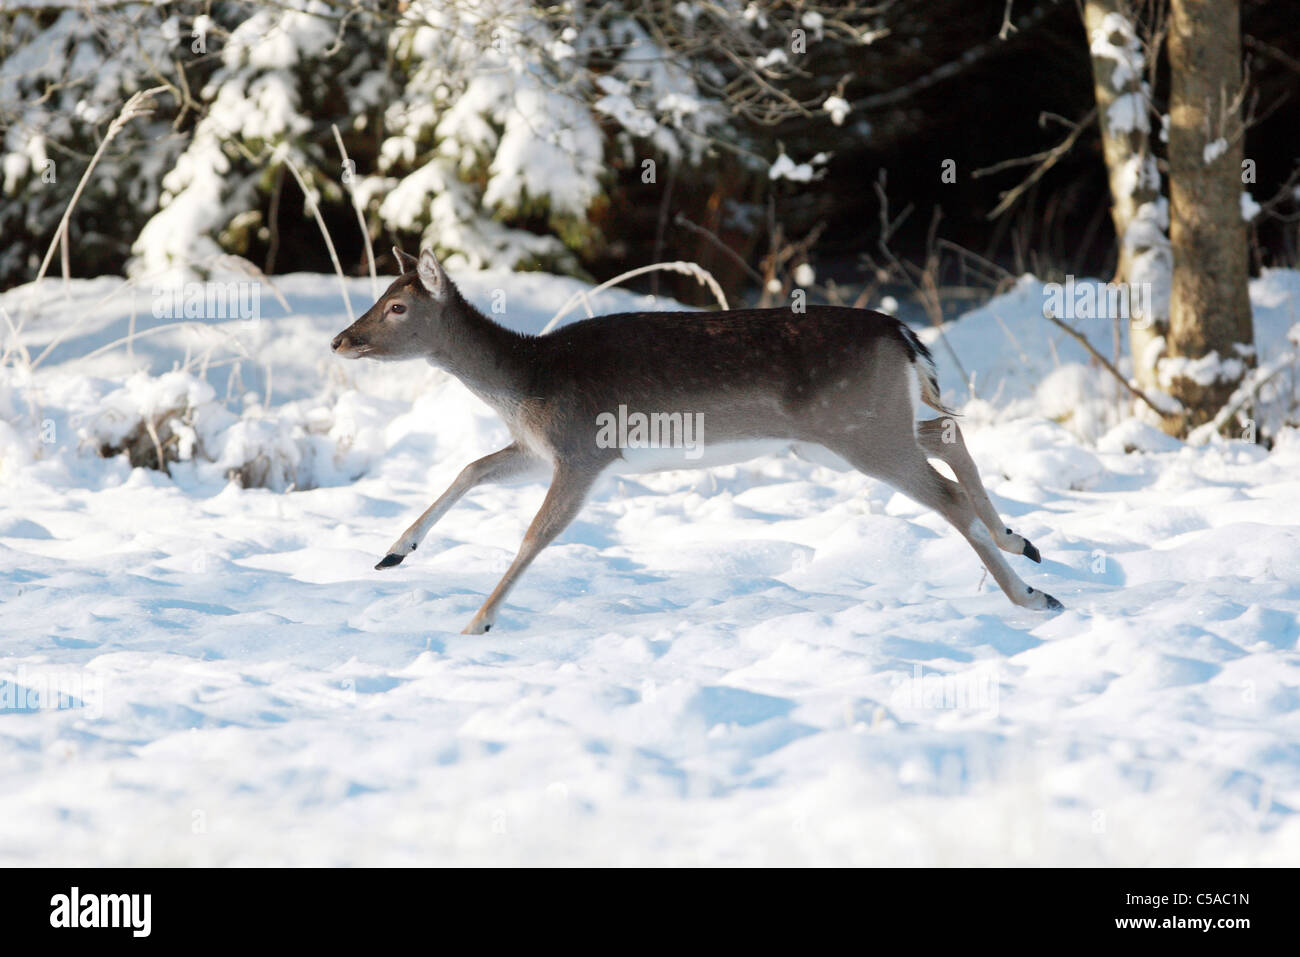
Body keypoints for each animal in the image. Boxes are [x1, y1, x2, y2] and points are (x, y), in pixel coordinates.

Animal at [330, 248, 1060, 634]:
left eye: (398, 306)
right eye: (380, 293)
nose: (341, 340)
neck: (526, 380)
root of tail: (904, 334)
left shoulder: (584, 449)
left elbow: (535, 534)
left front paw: (475, 621)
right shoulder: (539, 448)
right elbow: (471, 467)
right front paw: (393, 553)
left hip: (860, 433)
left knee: (946, 492)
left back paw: (1031, 595)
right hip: (856, 430)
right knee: (947, 430)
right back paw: (1021, 541)